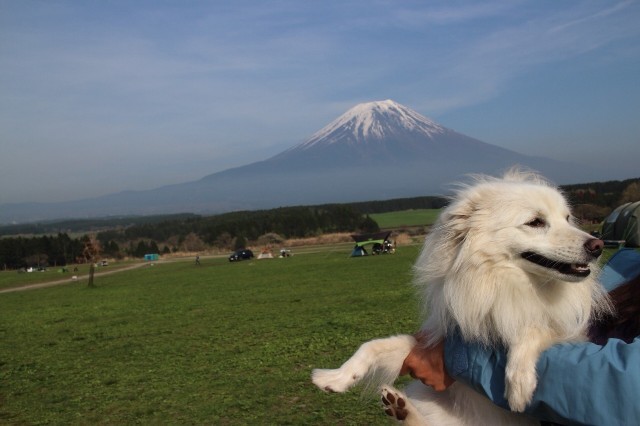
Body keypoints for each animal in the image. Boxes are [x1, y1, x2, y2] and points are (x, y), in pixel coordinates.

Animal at [312, 168, 612, 424]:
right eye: (535, 222)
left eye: (567, 219)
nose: (598, 245)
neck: (505, 282)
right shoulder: (433, 338)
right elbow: (374, 346)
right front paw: (335, 377)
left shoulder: (569, 333)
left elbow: (532, 329)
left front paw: (518, 386)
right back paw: (401, 408)